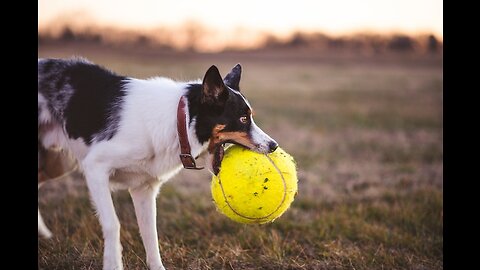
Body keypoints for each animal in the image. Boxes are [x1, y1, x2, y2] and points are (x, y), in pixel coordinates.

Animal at [38, 57, 278, 270]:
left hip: (59, 162)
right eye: (243, 119)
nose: (274, 145)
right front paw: (113, 264)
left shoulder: (144, 189)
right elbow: (113, 223)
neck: (179, 120)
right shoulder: (95, 168)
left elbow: (150, 233)